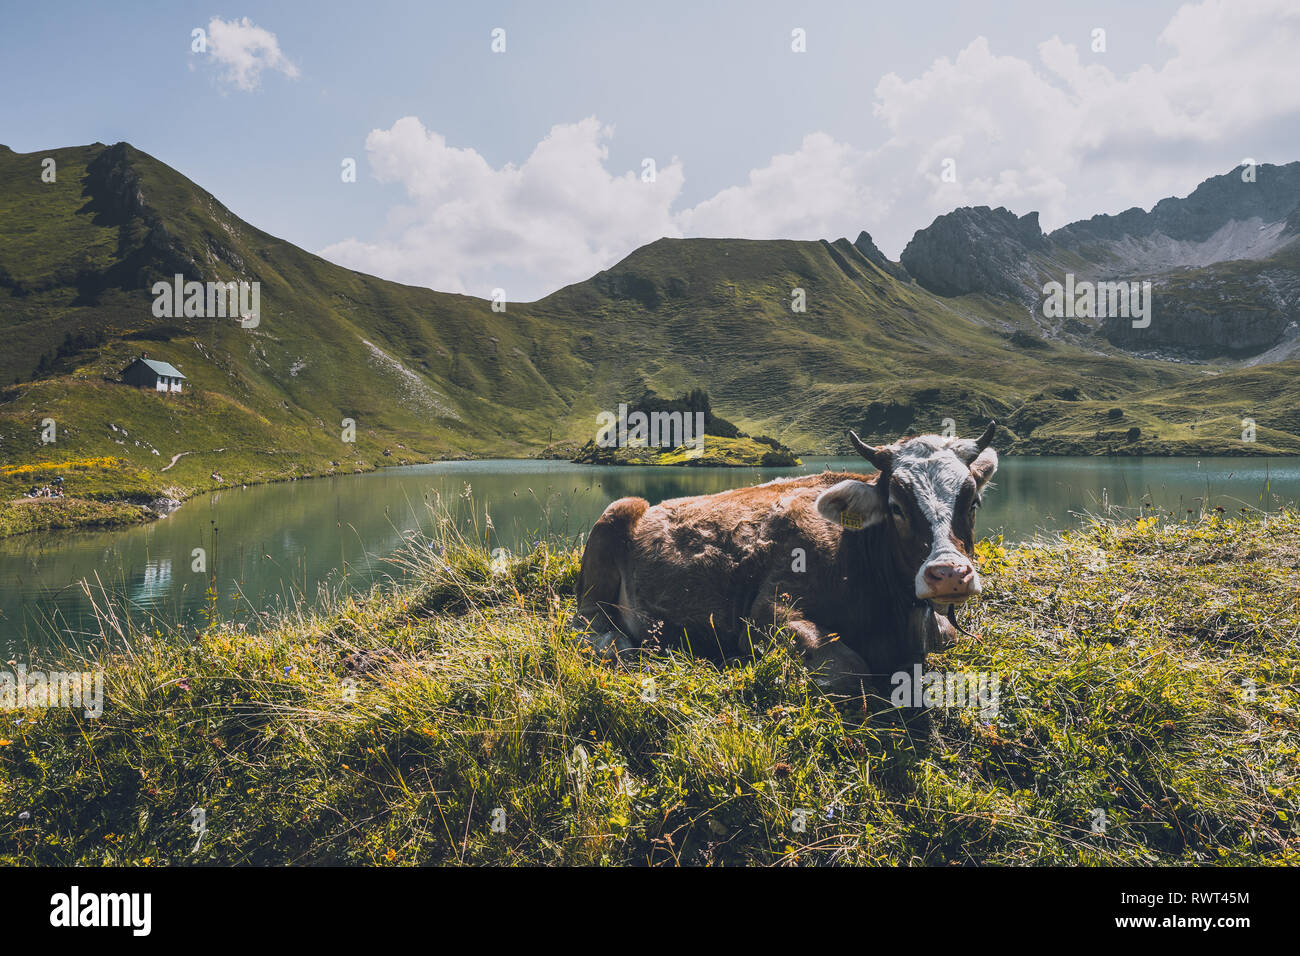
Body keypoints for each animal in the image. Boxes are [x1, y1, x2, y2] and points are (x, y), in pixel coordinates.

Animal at [574, 421, 998, 691]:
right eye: (896, 506)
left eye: (972, 502)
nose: (949, 573)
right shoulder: (767, 611)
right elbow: (850, 670)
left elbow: (950, 637)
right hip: (614, 519)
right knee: (588, 623)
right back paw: (619, 646)